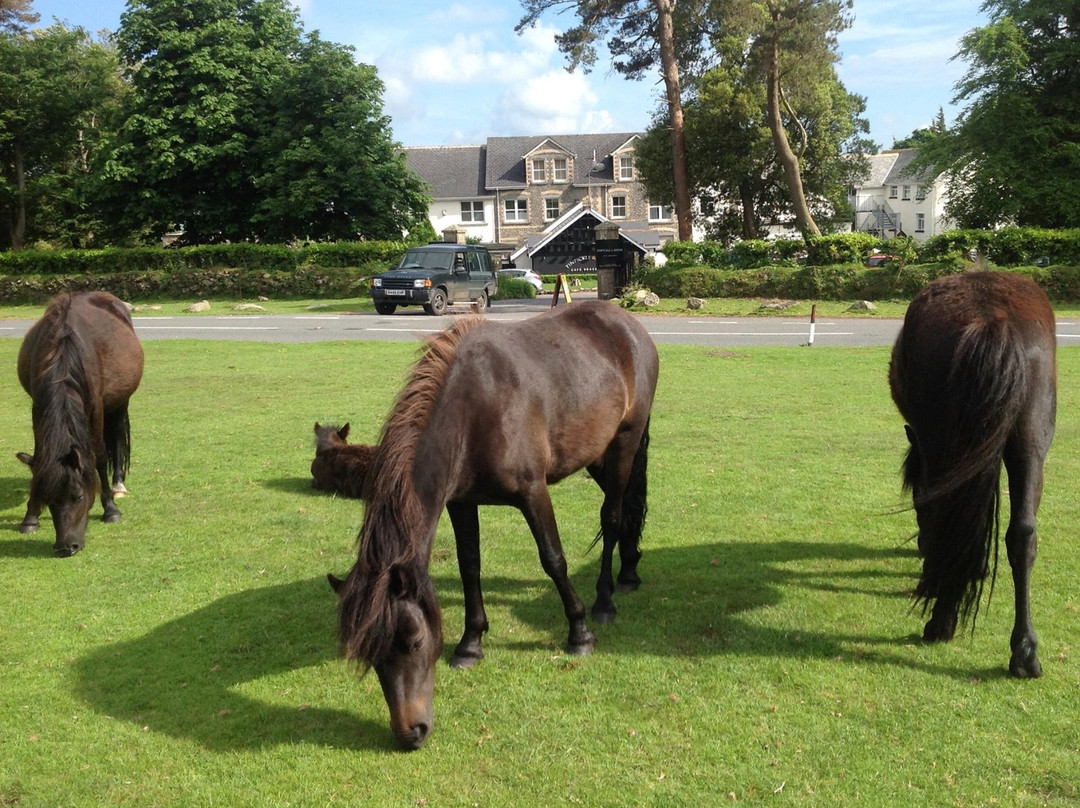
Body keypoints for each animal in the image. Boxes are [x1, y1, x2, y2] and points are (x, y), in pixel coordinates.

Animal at [16, 289, 143, 557]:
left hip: (119, 402)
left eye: (80, 497)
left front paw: (110, 509)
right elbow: (40, 455)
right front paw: (30, 517)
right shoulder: (38, 408)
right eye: (48, 500)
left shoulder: (96, 406)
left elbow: (100, 456)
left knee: (116, 438)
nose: (67, 547)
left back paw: (118, 485)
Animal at [326, 302, 656, 751]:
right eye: (372, 656)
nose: (411, 732)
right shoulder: (462, 503)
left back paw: (605, 600)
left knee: (613, 515)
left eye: (414, 642)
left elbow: (553, 559)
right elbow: (470, 567)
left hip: (624, 442)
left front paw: (580, 633)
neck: (474, 409)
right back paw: (629, 571)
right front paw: (470, 644)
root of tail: (626, 323)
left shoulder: (533, 492)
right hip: (595, 452)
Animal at [889, 271, 1058, 674]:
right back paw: (1024, 651)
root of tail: (991, 317)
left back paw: (942, 619)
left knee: (953, 514)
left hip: (941, 443)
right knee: (1022, 535)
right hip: (1030, 442)